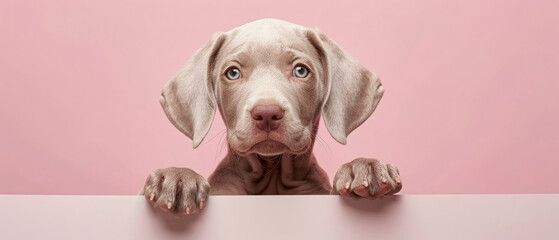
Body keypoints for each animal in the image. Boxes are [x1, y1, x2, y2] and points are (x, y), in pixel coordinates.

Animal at [140, 18, 402, 214]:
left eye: (300, 71)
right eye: (233, 73)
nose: (266, 113)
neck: (270, 177)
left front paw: (364, 168)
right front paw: (177, 178)